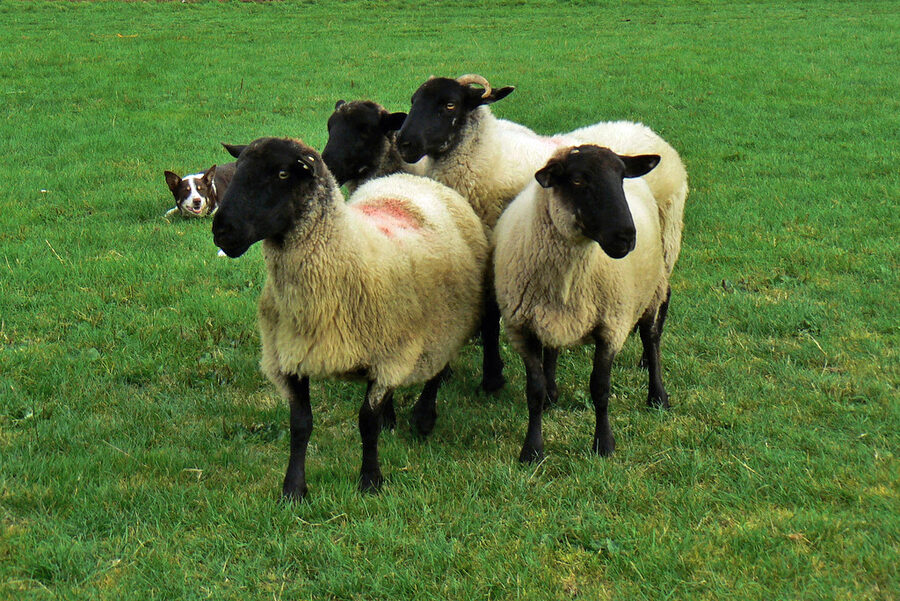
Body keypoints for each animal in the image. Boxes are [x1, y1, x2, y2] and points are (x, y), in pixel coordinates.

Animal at [212, 137, 488, 500]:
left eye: (283, 173)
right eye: (238, 168)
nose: (222, 230)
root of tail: (414, 180)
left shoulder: (390, 357)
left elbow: (366, 423)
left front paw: (370, 480)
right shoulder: (291, 356)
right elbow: (301, 425)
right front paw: (293, 489)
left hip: (447, 322)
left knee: (437, 371)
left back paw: (424, 418)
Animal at [492, 145, 669, 462]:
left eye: (621, 177)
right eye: (576, 180)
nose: (626, 236)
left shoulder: (611, 327)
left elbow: (600, 388)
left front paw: (604, 444)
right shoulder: (520, 329)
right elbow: (534, 390)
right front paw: (532, 450)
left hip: (653, 290)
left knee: (651, 338)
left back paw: (657, 396)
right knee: (552, 350)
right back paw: (552, 397)